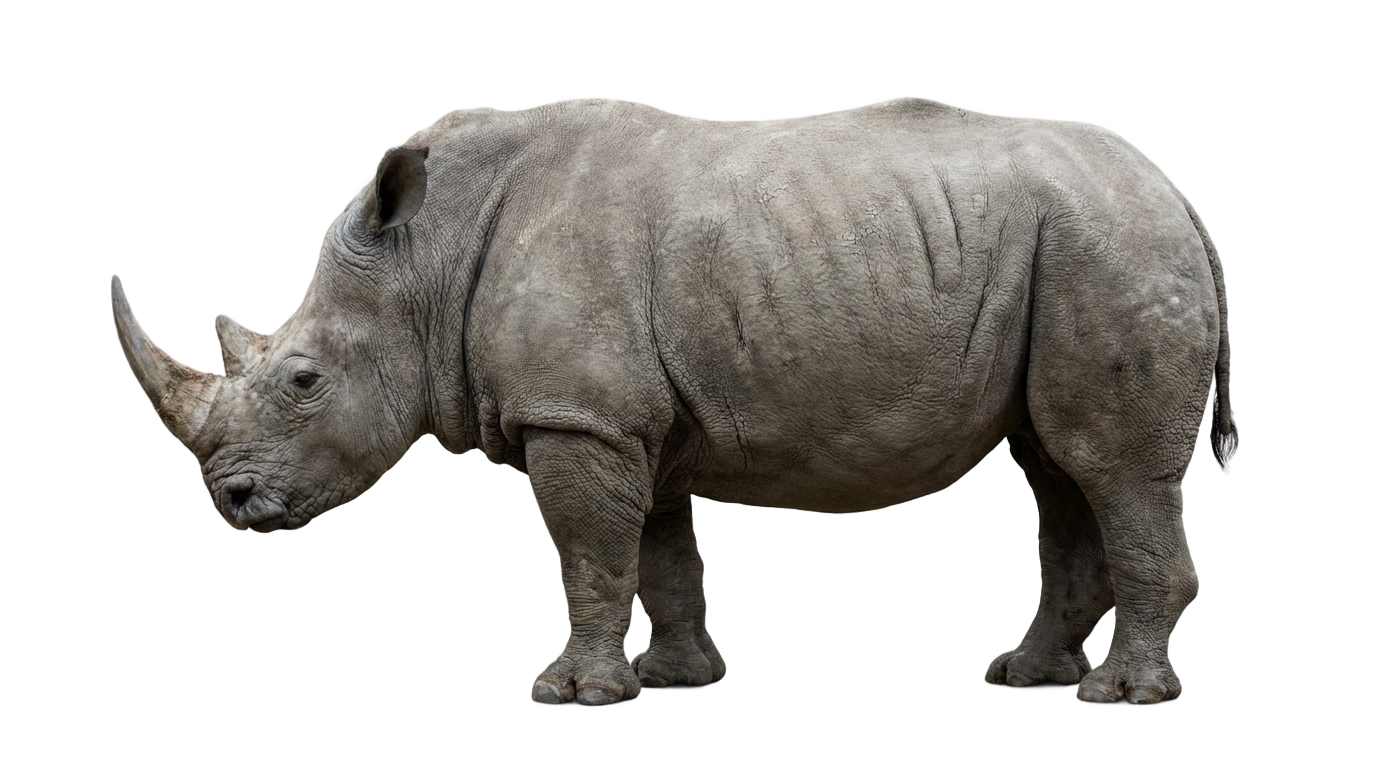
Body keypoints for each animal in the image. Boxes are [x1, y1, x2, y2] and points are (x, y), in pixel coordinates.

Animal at [112, 98, 1233, 706]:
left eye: (302, 382)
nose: (232, 502)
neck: (424, 259)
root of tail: (1175, 192)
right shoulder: (624, 418)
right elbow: (654, 555)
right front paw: (678, 681)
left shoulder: (579, 415)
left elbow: (590, 558)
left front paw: (576, 696)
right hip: (1086, 248)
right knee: (1059, 470)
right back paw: (1030, 679)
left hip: (1110, 248)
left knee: (1111, 473)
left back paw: (1120, 696)